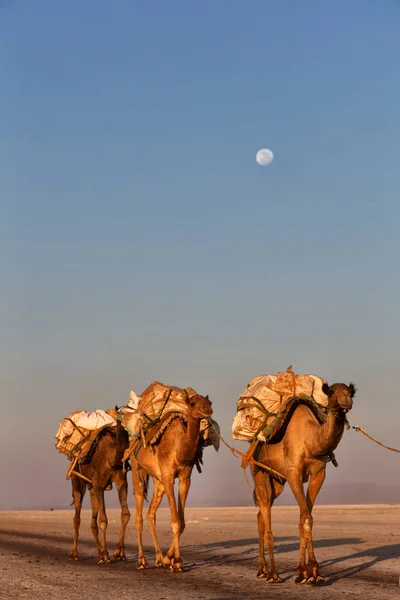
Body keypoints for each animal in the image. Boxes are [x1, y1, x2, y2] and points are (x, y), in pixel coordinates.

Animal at [69, 420, 130, 564]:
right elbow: (103, 520)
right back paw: (74, 554)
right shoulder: (98, 484)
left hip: (90, 486)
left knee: (93, 519)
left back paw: (99, 553)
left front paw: (119, 552)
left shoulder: (121, 481)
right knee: (77, 516)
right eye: (117, 436)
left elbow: (125, 514)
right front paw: (106, 556)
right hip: (76, 479)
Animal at [130, 394, 212, 572]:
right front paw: (175, 561)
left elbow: (181, 522)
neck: (179, 448)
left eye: (209, 402)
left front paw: (172, 560)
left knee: (150, 513)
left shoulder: (185, 478)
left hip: (158, 481)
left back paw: (159, 558)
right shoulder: (168, 476)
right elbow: (175, 521)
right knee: (139, 514)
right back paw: (142, 561)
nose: (207, 409)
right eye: (192, 403)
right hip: (137, 469)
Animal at [253, 382, 356, 584]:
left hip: (276, 481)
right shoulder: (293, 472)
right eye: (331, 391)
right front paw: (312, 570)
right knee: (265, 511)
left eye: (351, 391)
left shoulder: (318, 473)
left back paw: (262, 569)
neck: (310, 439)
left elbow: (305, 517)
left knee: (261, 513)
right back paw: (273, 574)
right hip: (259, 472)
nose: (346, 398)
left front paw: (305, 572)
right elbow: (307, 518)